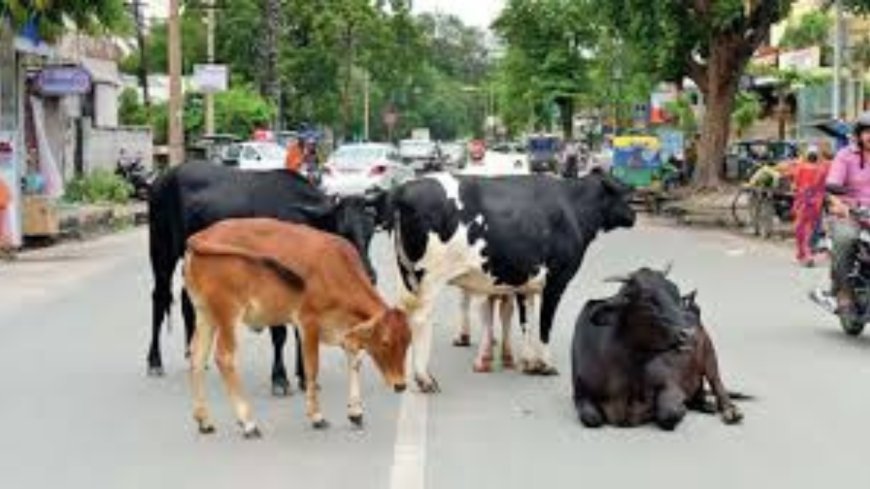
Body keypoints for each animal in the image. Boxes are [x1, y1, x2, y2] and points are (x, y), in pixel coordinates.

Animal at [146, 162, 382, 394]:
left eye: (370, 232)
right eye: (344, 231)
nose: (369, 274)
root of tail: (164, 176)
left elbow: (300, 331)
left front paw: (304, 377)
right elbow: (280, 333)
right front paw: (280, 378)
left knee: (188, 301)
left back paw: (193, 354)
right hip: (161, 250)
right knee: (159, 297)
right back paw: (155, 361)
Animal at [183, 217, 412, 434]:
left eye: (408, 342)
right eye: (385, 342)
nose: (400, 385)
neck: (335, 269)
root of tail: (201, 235)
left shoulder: (346, 331)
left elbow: (355, 362)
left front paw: (355, 413)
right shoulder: (308, 323)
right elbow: (312, 369)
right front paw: (317, 416)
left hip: (205, 314)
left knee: (197, 357)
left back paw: (204, 420)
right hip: (227, 314)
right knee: (225, 357)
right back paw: (248, 423)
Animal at [392, 170, 636, 390]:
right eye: (624, 194)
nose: (634, 216)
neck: (572, 208)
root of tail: (405, 188)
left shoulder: (525, 282)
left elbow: (526, 320)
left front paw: (530, 363)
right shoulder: (556, 282)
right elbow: (545, 324)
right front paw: (546, 364)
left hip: (409, 276)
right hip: (431, 277)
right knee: (420, 319)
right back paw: (424, 379)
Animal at [572, 266, 748, 430]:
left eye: (676, 293)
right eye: (647, 299)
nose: (689, 333)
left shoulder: (670, 383)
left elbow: (670, 412)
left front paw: (678, 410)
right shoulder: (580, 393)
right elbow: (591, 418)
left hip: (709, 353)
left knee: (716, 382)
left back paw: (731, 411)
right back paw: (705, 405)